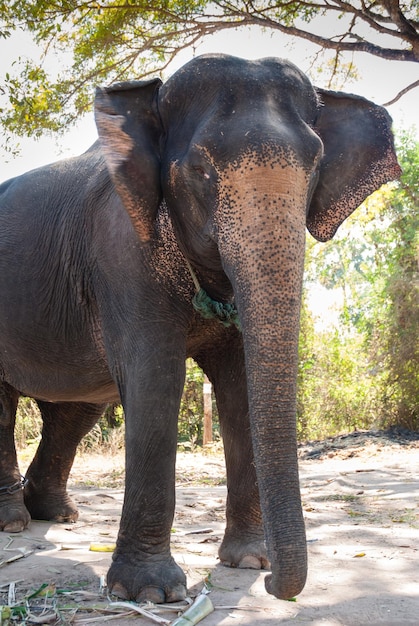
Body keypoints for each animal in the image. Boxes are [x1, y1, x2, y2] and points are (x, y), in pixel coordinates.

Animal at [0, 54, 400, 600]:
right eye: (201, 170)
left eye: (316, 166)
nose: (275, 582)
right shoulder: (122, 255)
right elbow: (155, 382)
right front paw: (152, 593)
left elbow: (240, 387)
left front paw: (249, 561)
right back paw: (13, 522)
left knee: (76, 411)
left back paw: (55, 514)